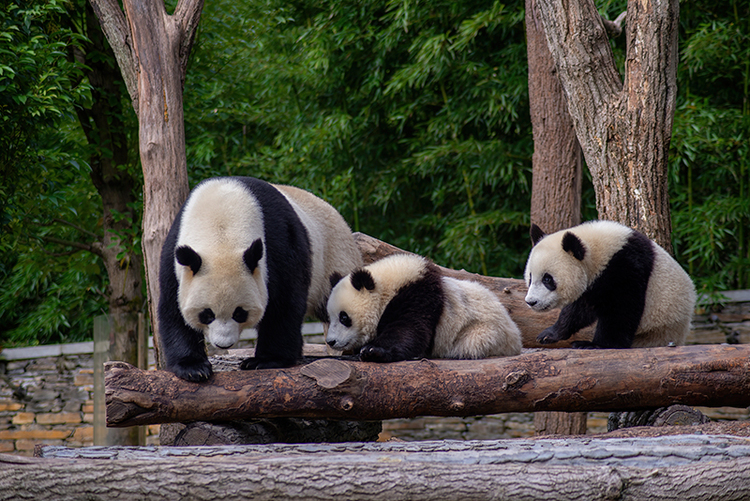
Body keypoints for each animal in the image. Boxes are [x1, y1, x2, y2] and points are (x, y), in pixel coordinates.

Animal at [157, 176, 362, 378]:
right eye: (207, 314)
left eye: (239, 313)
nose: (224, 344)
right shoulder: (175, 258)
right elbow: (173, 309)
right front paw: (193, 368)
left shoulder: (278, 243)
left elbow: (284, 302)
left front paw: (265, 360)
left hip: (334, 261)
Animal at [326, 254, 524, 360]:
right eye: (331, 317)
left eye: (344, 317)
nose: (330, 342)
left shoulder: (419, 296)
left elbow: (410, 330)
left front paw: (372, 351)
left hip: (482, 331)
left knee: (472, 344)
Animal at [524, 221, 700, 350]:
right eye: (530, 277)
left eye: (548, 279)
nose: (531, 302)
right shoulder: (593, 283)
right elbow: (579, 310)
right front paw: (548, 334)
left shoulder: (625, 266)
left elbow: (621, 309)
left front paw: (597, 345)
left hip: (659, 328)